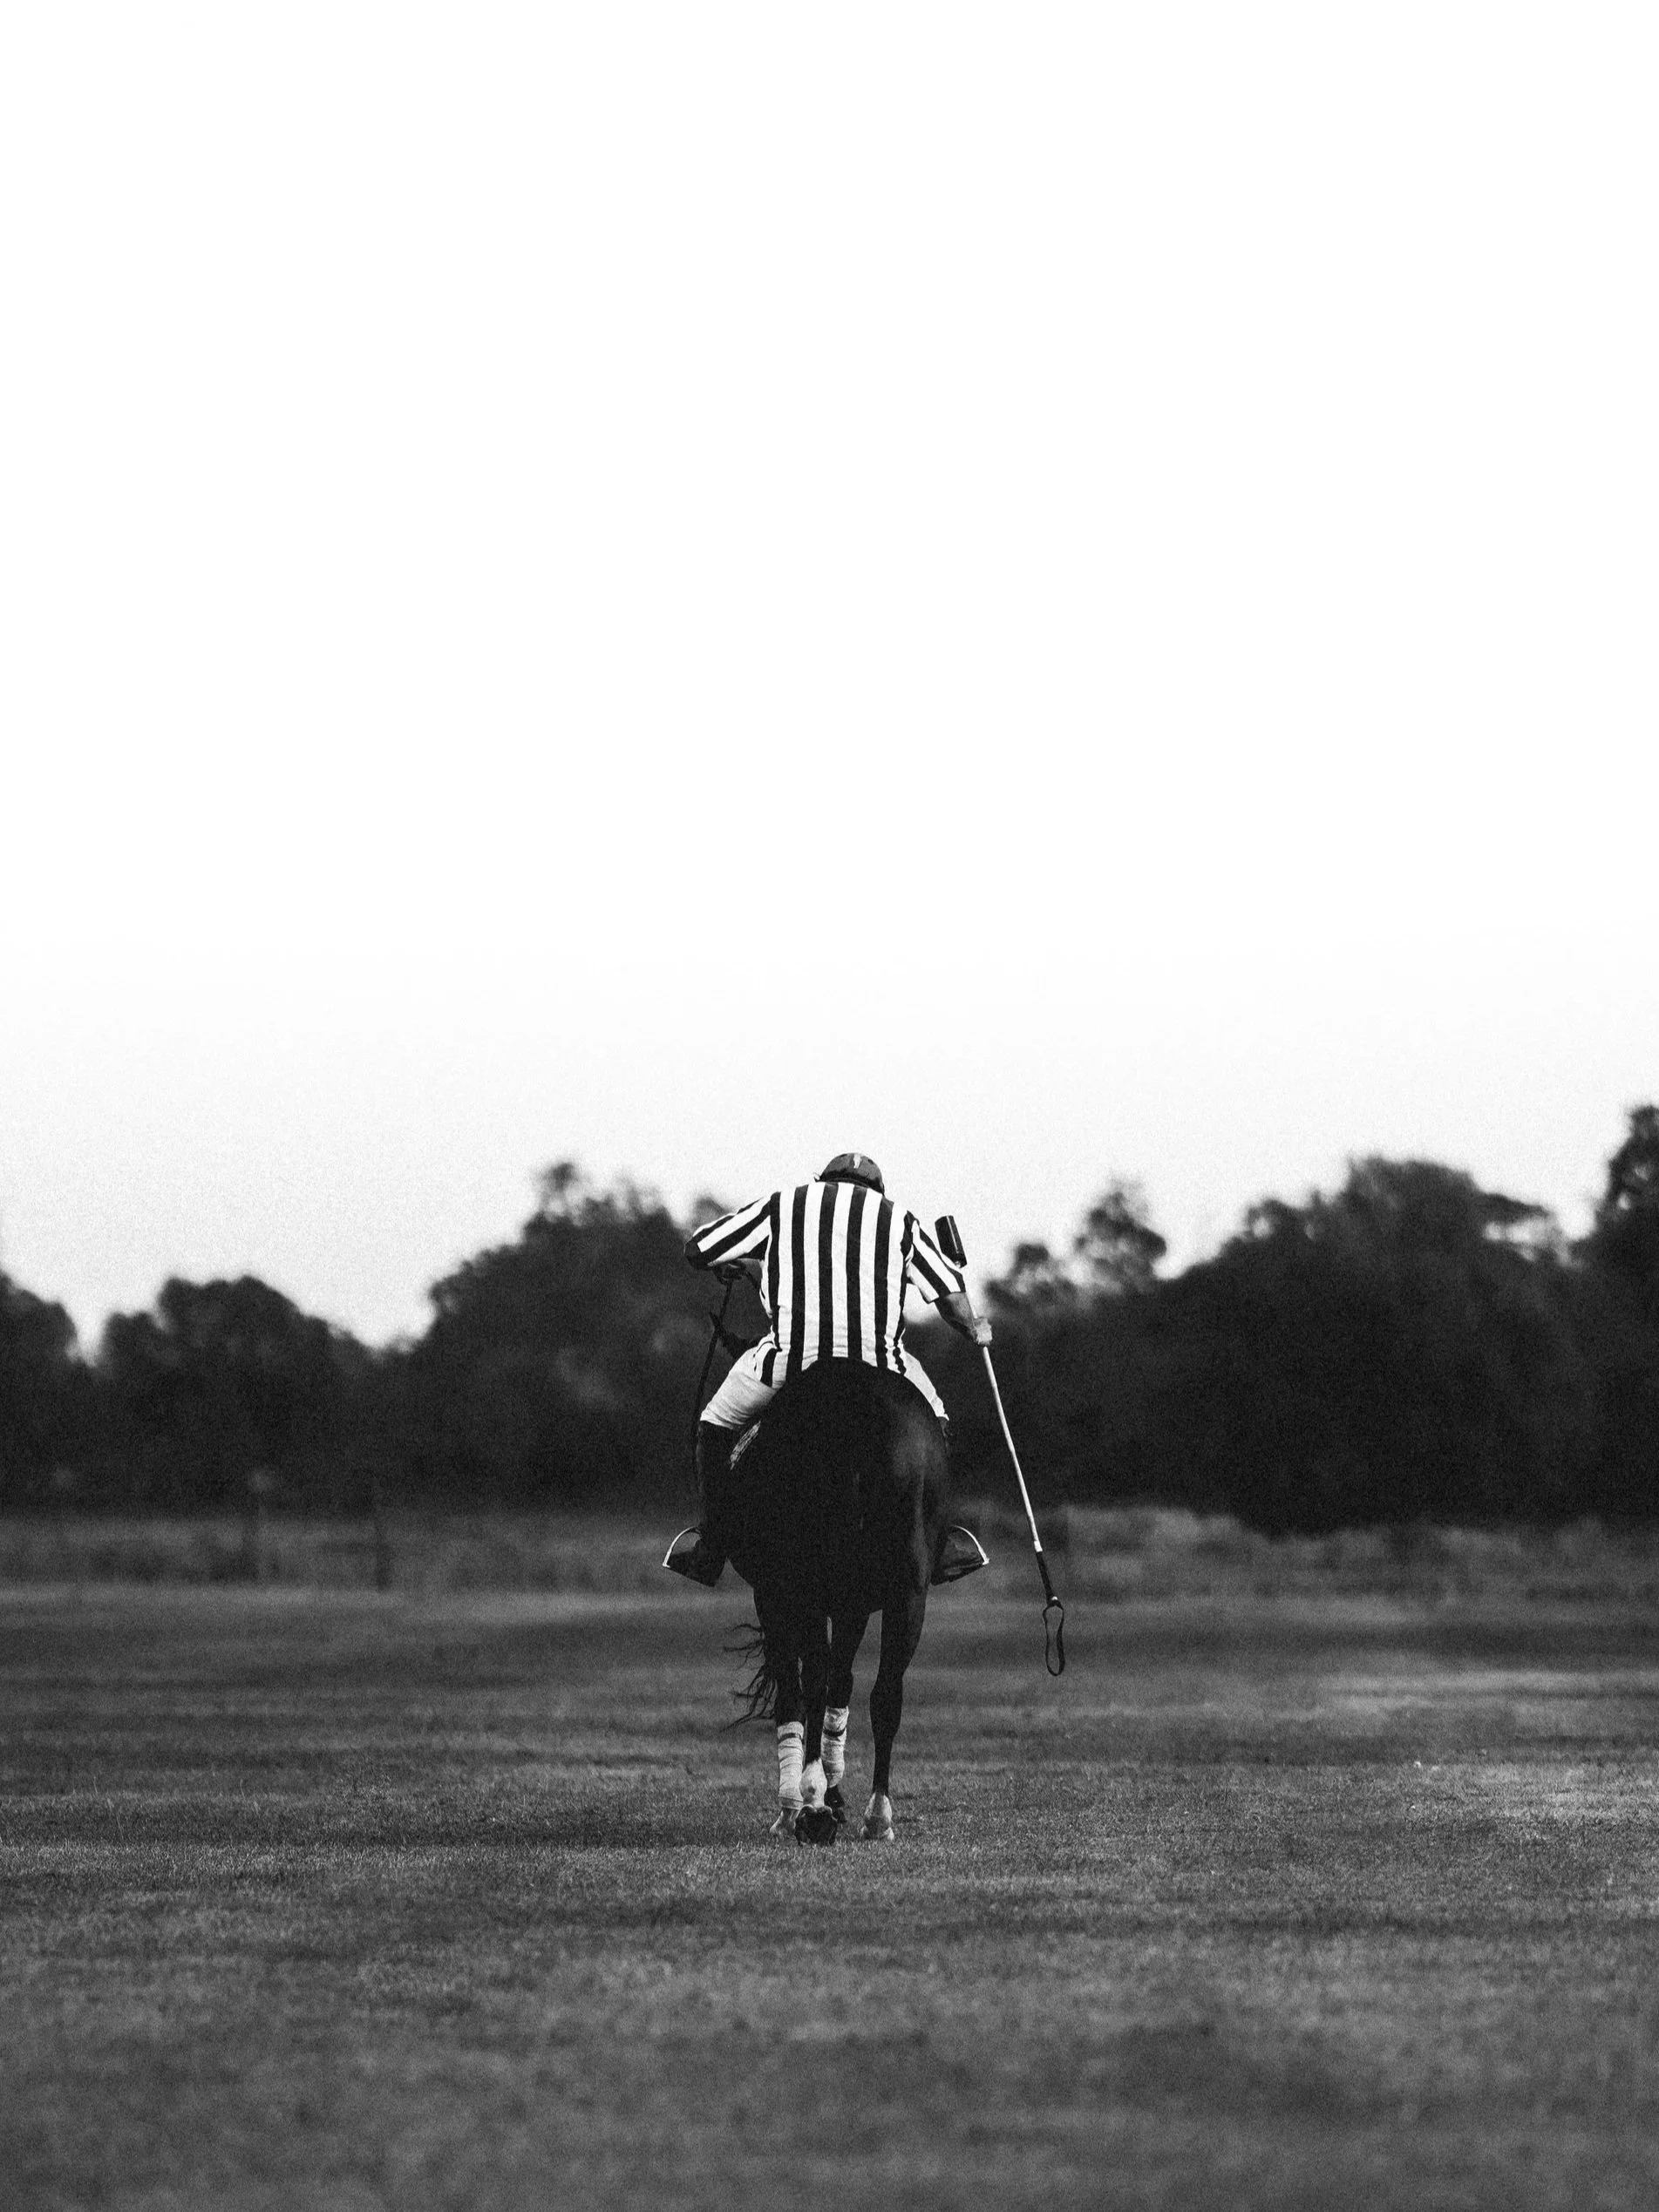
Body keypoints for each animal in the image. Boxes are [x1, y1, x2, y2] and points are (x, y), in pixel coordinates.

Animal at [719, 1357, 976, 1844]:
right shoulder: (852, 1603)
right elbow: (844, 1683)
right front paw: (833, 1795)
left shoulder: (778, 1594)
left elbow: (798, 1689)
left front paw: (797, 1806)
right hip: (907, 1591)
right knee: (886, 1694)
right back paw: (876, 1816)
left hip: (804, 1583)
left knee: (813, 1682)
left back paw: (811, 1805)